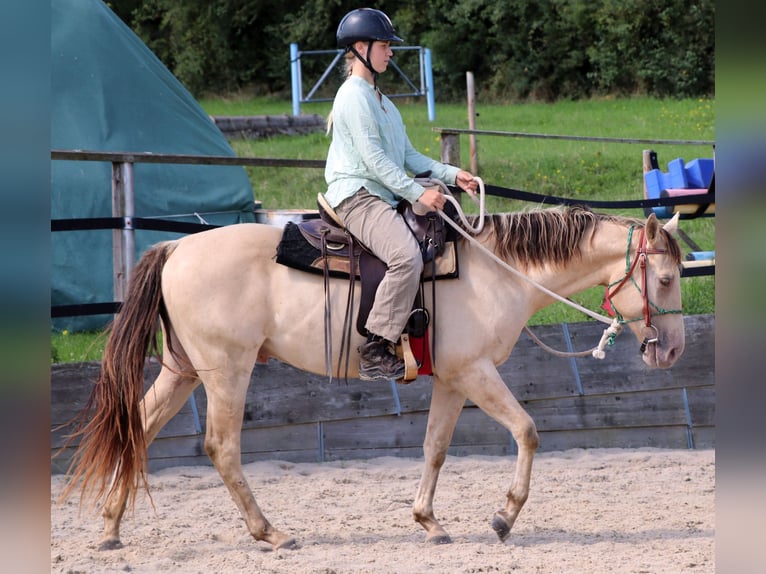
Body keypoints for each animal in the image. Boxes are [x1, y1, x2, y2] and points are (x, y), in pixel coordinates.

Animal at [58, 205, 684, 551]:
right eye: (667, 278)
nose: (674, 350)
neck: (498, 270)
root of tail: (175, 246)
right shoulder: (476, 371)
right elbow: (527, 431)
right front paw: (504, 518)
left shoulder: (453, 379)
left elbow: (435, 448)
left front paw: (428, 521)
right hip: (226, 369)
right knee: (221, 447)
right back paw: (271, 533)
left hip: (184, 369)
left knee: (137, 427)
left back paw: (111, 529)